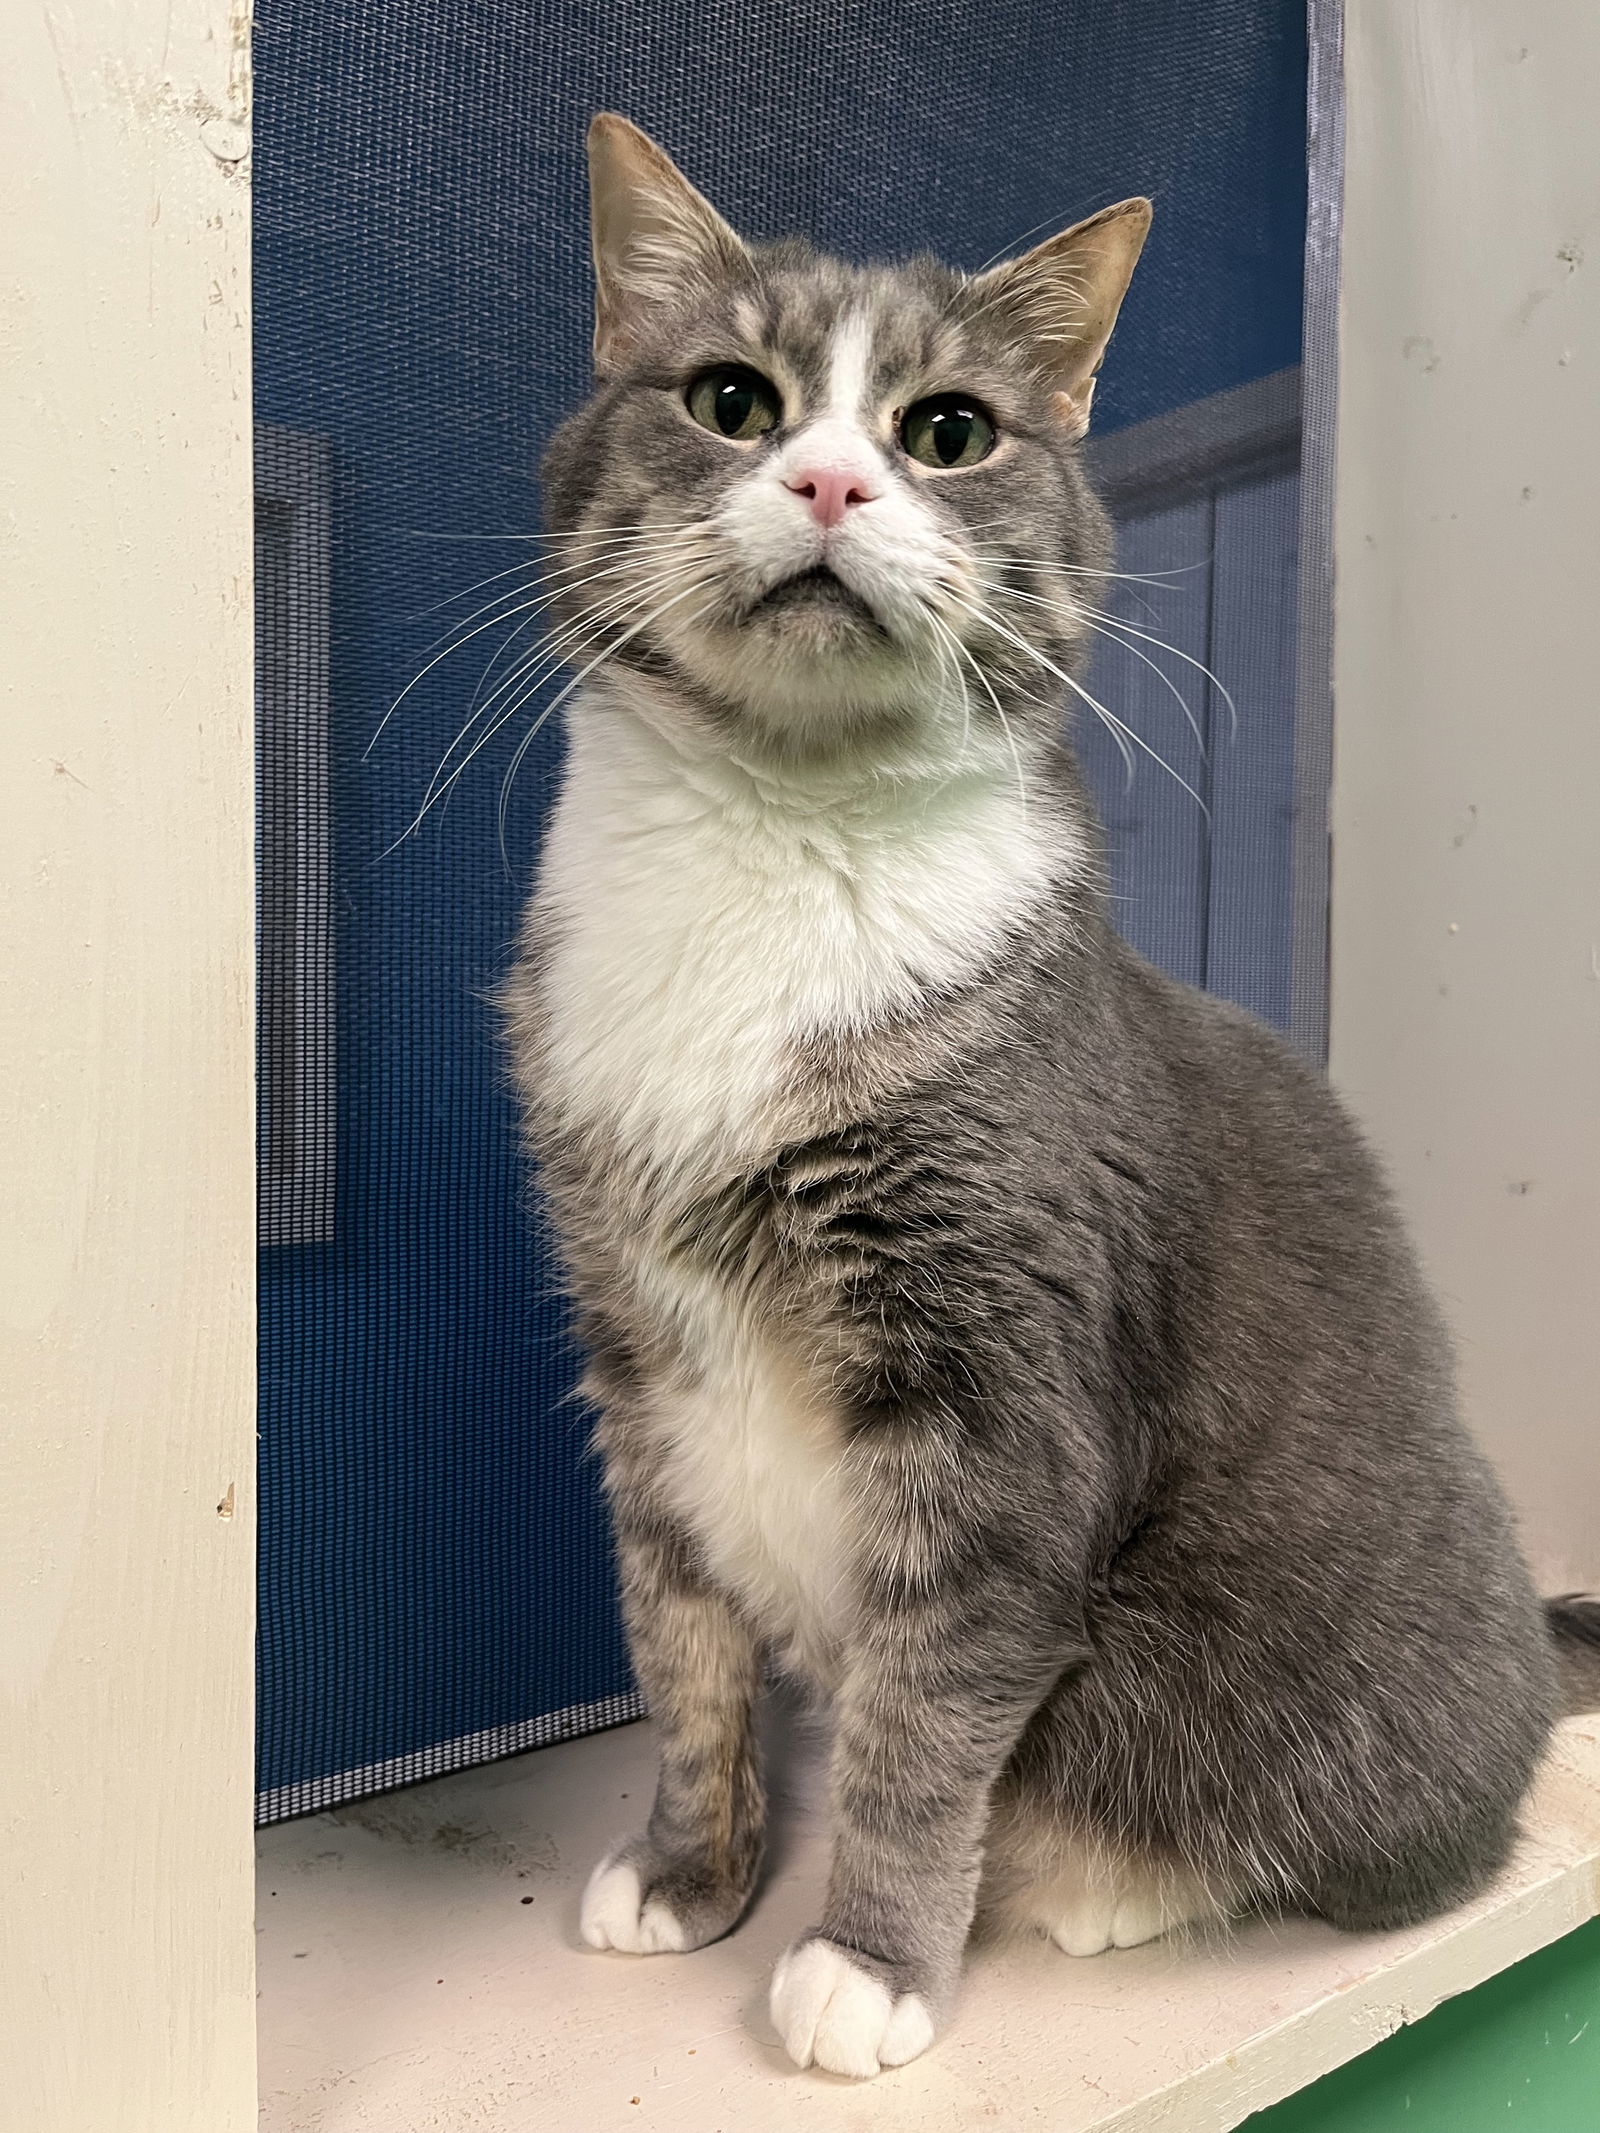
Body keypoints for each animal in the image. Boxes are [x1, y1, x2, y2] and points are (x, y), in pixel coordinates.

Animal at [503, 108, 1595, 2073]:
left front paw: (865, 1959)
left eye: (947, 430)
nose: (832, 486)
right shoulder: (633, 1350)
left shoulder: (1002, 1392)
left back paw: (1106, 1885)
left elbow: (926, 1712)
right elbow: (680, 1639)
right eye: (730, 400)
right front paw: (692, 1870)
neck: (775, 842)